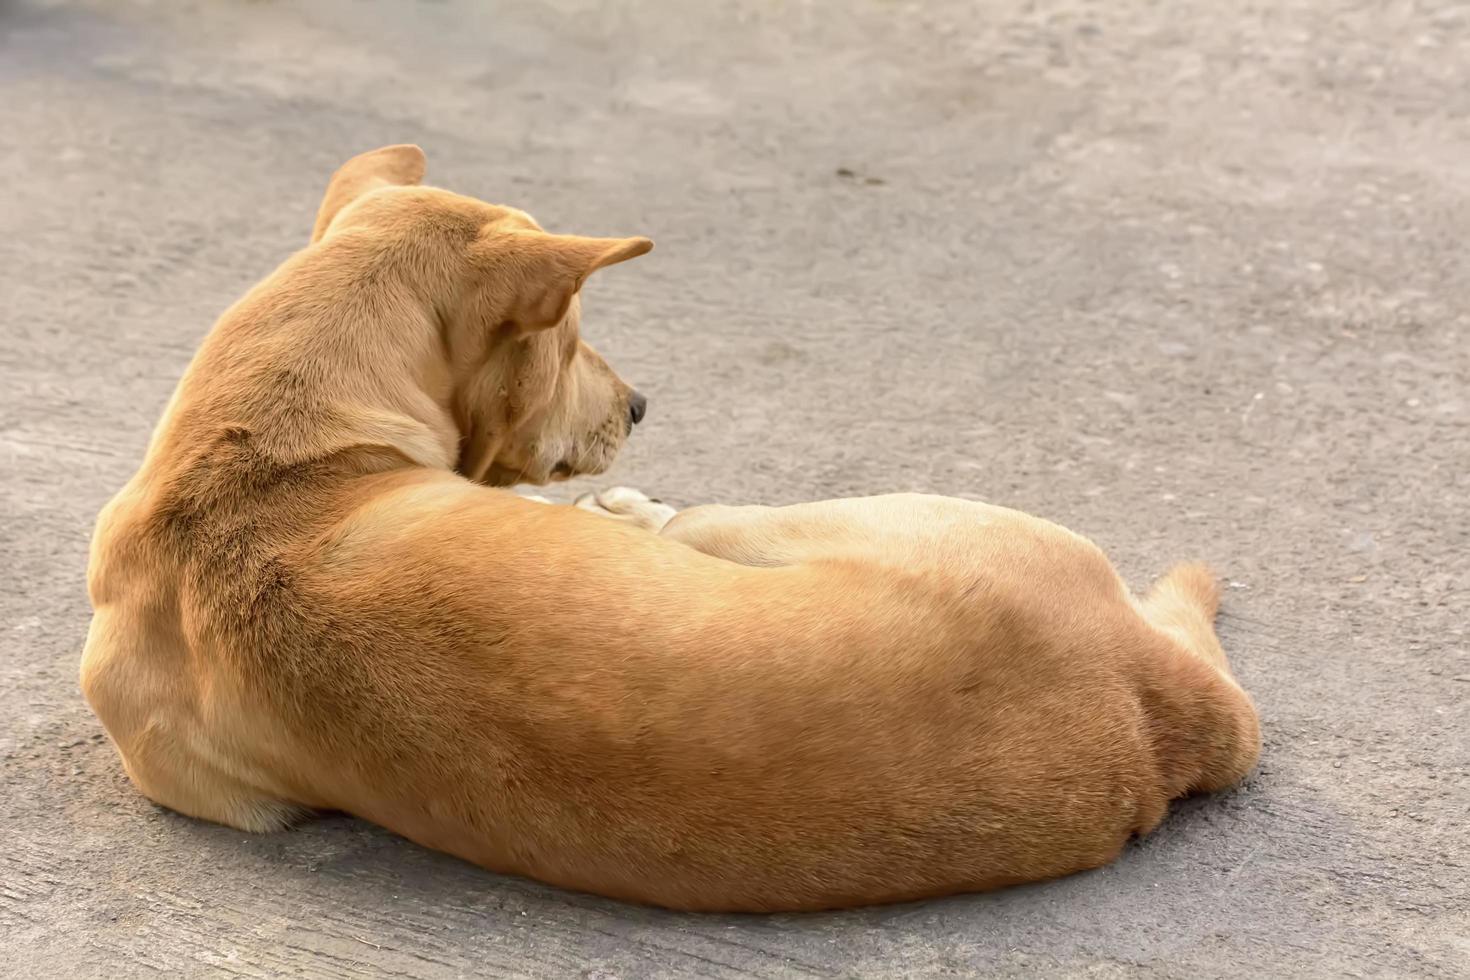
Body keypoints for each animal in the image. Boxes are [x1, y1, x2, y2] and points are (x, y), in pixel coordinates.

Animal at [80, 143, 1258, 910]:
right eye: (574, 336)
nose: (643, 405)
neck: (272, 443)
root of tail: (1161, 707)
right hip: (782, 522)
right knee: (684, 515)